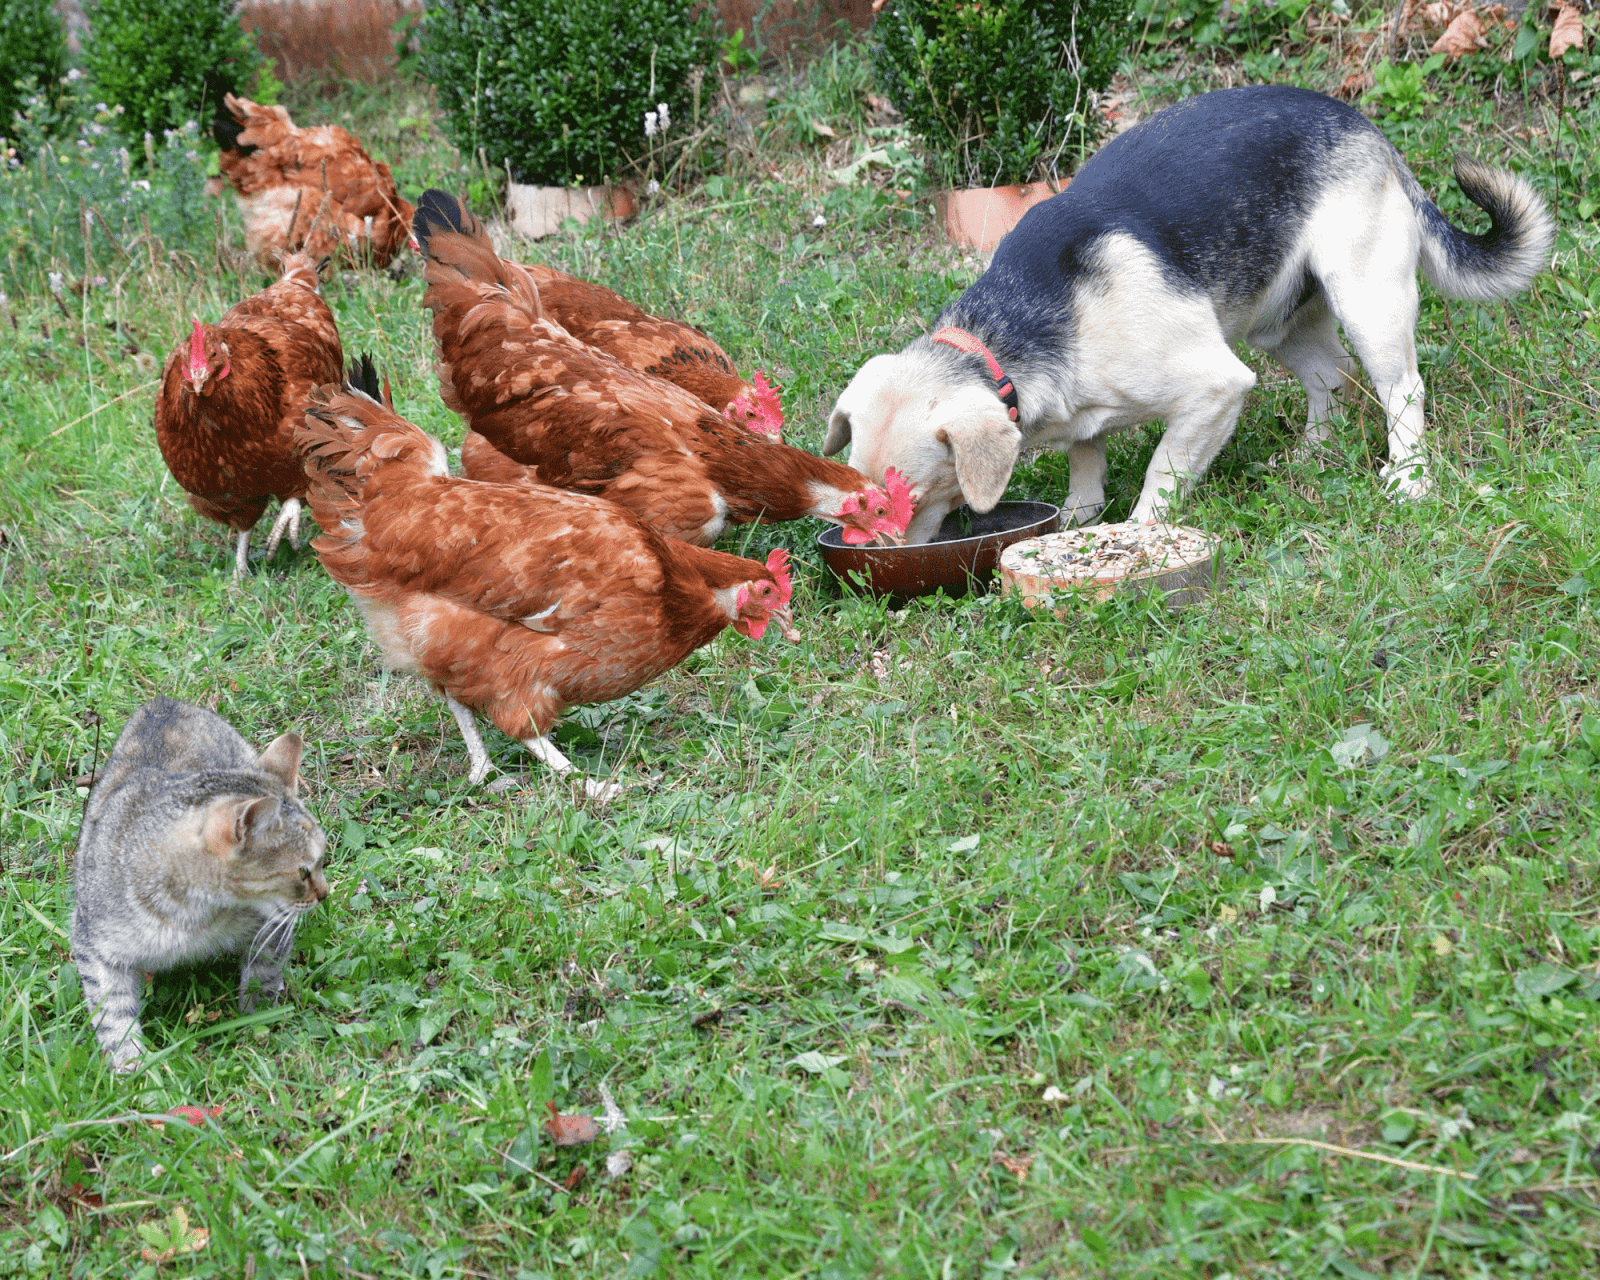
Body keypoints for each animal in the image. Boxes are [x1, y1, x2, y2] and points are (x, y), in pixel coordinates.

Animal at [72, 700, 328, 1068]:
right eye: (304, 872)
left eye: (323, 861)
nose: (324, 894)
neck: (192, 913)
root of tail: (164, 701)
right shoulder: (94, 944)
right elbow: (111, 1009)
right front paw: (130, 1064)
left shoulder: (271, 925)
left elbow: (263, 975)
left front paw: (256, 1021)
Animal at [825, 86, 1548, 540]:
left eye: (913, 500)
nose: (870, 572)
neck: (1011, 334)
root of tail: (1367, 127)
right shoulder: (1083, 414)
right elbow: (1086, 456)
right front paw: (1080, 514)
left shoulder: (1215, 389)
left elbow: (1161, 472)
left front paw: (1138, 534)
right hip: (1276, 320)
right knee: (1329, 374)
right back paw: (1314, 452)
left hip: (1365, 299)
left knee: (1402, 388)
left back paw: (1407, 476)